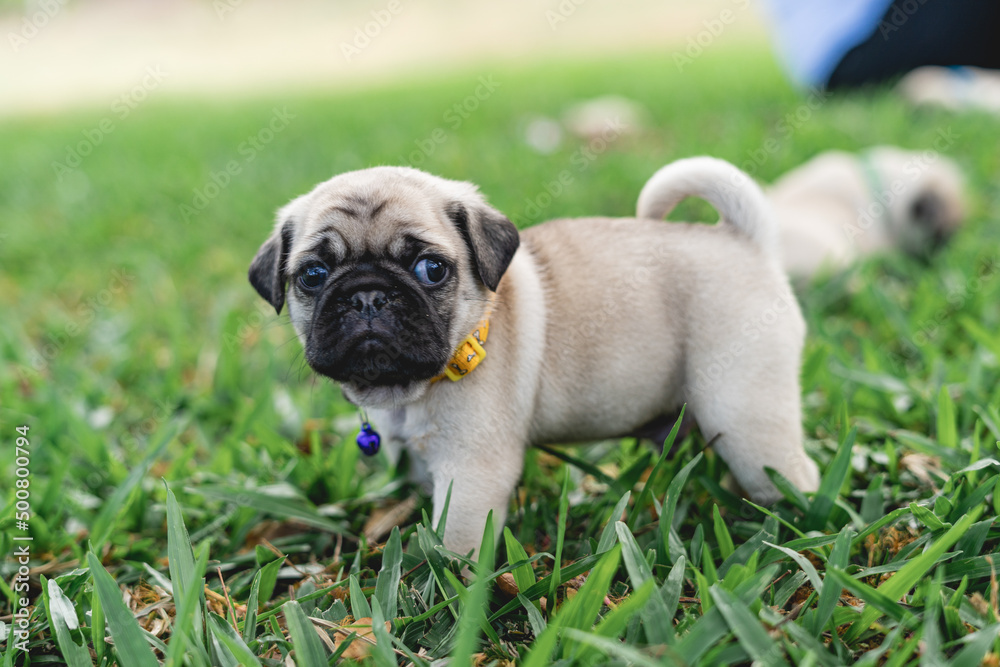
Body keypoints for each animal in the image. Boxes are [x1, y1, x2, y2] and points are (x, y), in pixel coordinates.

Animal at [250, 158, 820, 560]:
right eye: (313, 276)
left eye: (431, 268)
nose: (368, 296)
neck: (411, 390)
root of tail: (743, 239)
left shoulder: (471, 472)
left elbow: (455, 545)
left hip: (744, 415)